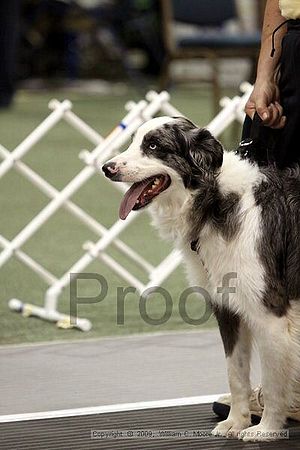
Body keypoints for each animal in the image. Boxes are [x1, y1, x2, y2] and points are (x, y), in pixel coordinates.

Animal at [102, 117, 300, 442]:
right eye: (133, 141)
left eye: (153, 145)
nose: (107, 168)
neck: (214, 201)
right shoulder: (227, 307)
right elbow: (236, 372)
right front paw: (237, 421)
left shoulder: (270, 313)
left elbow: (273, 382)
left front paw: (266, 429)